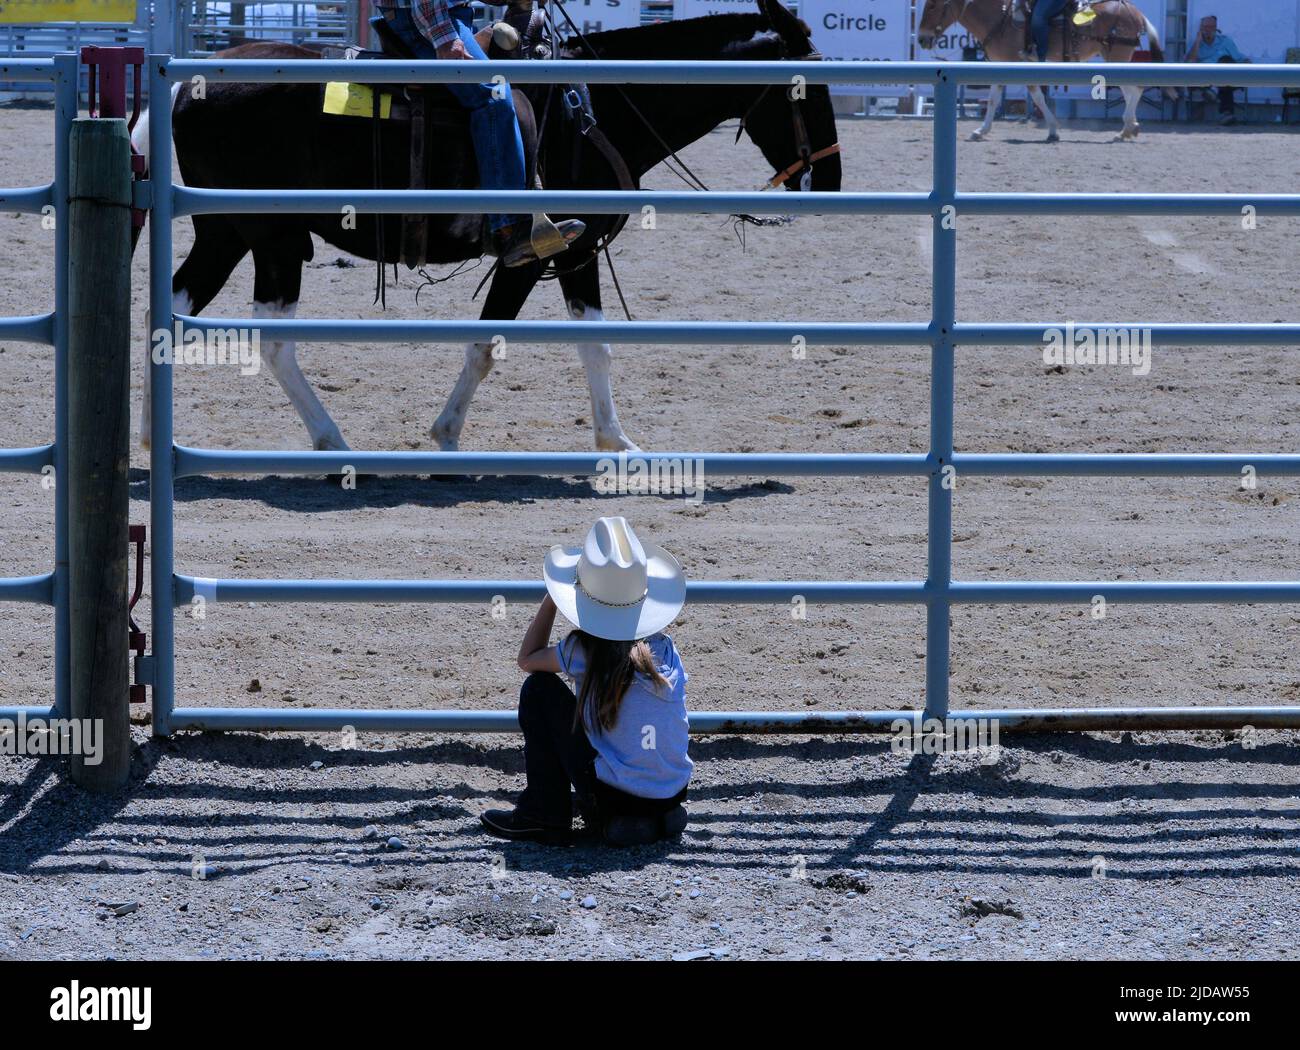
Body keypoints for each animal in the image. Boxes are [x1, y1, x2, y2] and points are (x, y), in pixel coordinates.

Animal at [131, 3, 842, 454]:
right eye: (807, 89)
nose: (831, 181)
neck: (593, 107)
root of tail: (182, 87)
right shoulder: (545, 252)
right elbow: (505, 344)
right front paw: (453, 434)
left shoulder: (569, 257)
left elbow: (572, 342)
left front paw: (611, 438)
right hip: (268, 235)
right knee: (272, 340)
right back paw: (331, 441)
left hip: (228, 234)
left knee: (173, 312)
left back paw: (150, 436)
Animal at [915, 0, 1170, 141]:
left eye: (933, 5)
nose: (922, 39)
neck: (1001, 17)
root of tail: (1135, 12)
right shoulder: (1002, 63)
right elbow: (994, 98)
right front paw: (981, 130)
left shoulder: (1017, 63)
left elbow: (1036, 95)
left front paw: (1053, 130)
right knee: (1132, 90)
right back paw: (1129, 128)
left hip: (1116, 56)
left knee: (1135, 88)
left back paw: (1127, 128)